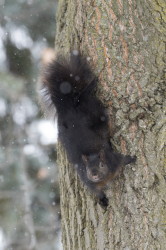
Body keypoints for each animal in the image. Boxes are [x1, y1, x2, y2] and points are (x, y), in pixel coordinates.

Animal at [40, 50, 136, 207]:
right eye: (87, 168)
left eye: (101, 165)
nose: (94, 174)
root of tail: (69, 107)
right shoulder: (87, 181)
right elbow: (96, 191)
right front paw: (103, 200)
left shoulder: (113, 160)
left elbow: (122, 159)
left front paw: (131, 158)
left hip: (97, 114)